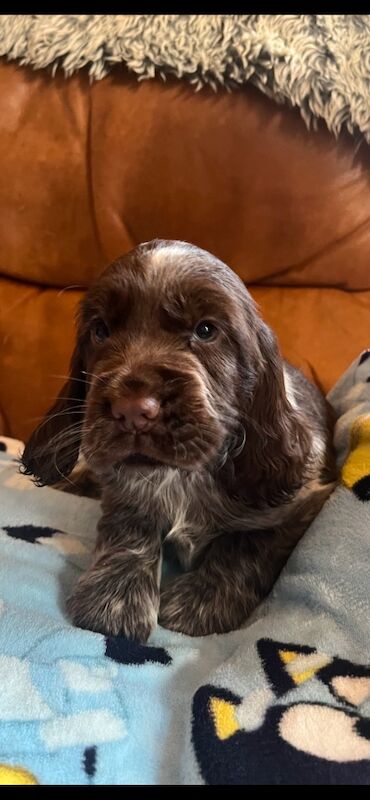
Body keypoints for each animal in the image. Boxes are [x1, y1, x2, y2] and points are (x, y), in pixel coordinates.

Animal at [20, 241, 336, 640]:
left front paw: (200, 602)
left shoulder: (303, 500)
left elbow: (248, 544)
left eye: (206, 330)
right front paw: (114, 600)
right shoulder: (123, 490)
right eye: (101, 330)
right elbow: (128, 525)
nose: (133, 410)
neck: (183, 476)